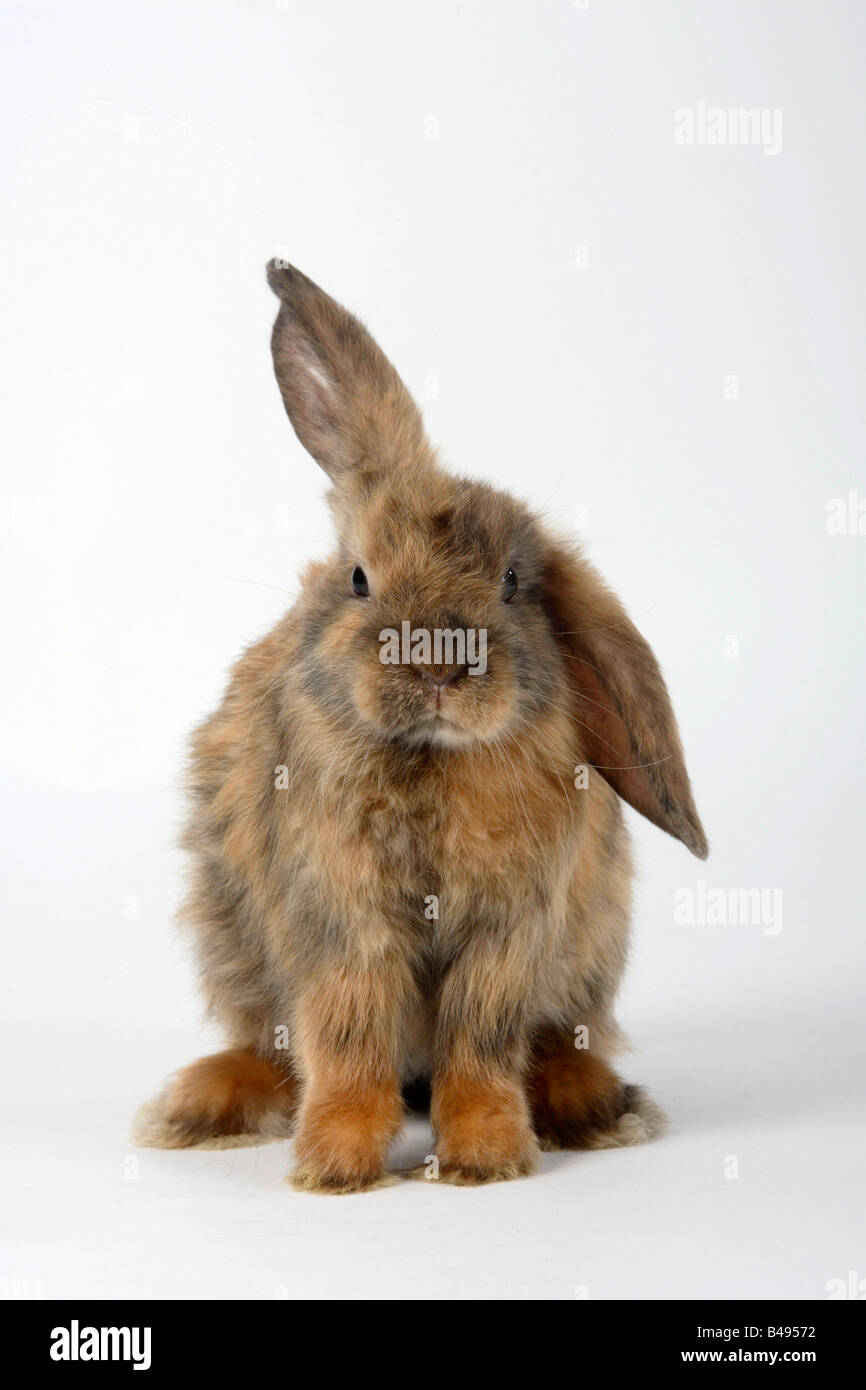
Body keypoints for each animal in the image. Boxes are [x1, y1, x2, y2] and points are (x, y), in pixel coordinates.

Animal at [132, 262, 708, 1195]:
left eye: (512, 582)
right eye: (359, 578)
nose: (438, 665)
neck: (432, 758)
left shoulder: (509, 930)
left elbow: (481, 1041)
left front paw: (483, 1158)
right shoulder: (342, 923)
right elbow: (349, 1035)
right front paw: (334, 1166)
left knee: (558, 1035)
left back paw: (592, 1103)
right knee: (269, 1045)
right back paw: (200, 1106)